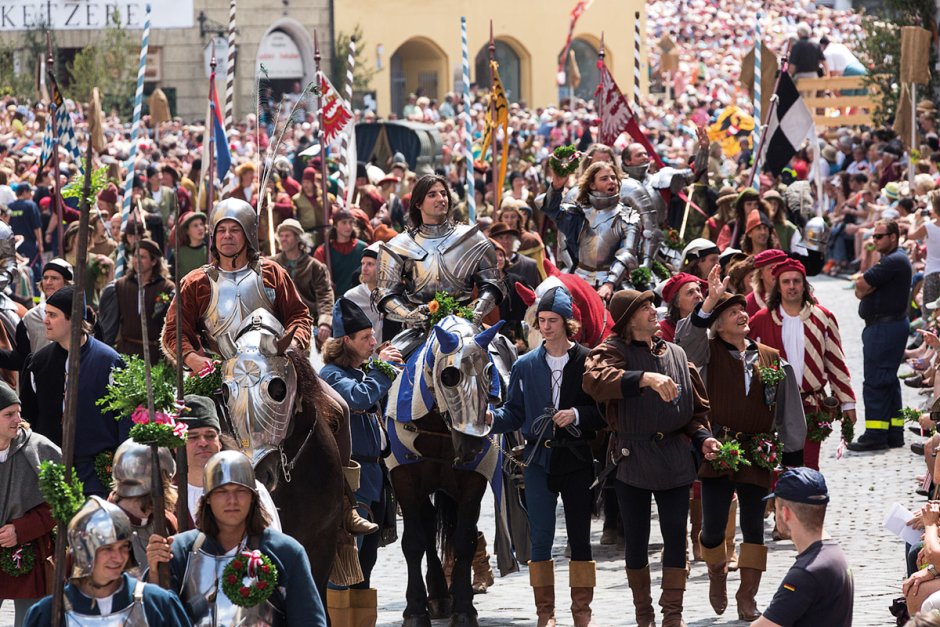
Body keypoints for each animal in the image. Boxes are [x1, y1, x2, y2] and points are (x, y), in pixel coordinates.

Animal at [384, 316, 516, 627]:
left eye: (490, 372)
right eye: (449, 376)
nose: (472, 442)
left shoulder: (473, 478)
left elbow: (464, 539)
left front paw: (464, 609)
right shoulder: (404, 477)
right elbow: (414, 541)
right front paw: (415, 610)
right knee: (429, 526)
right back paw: (438, 596)